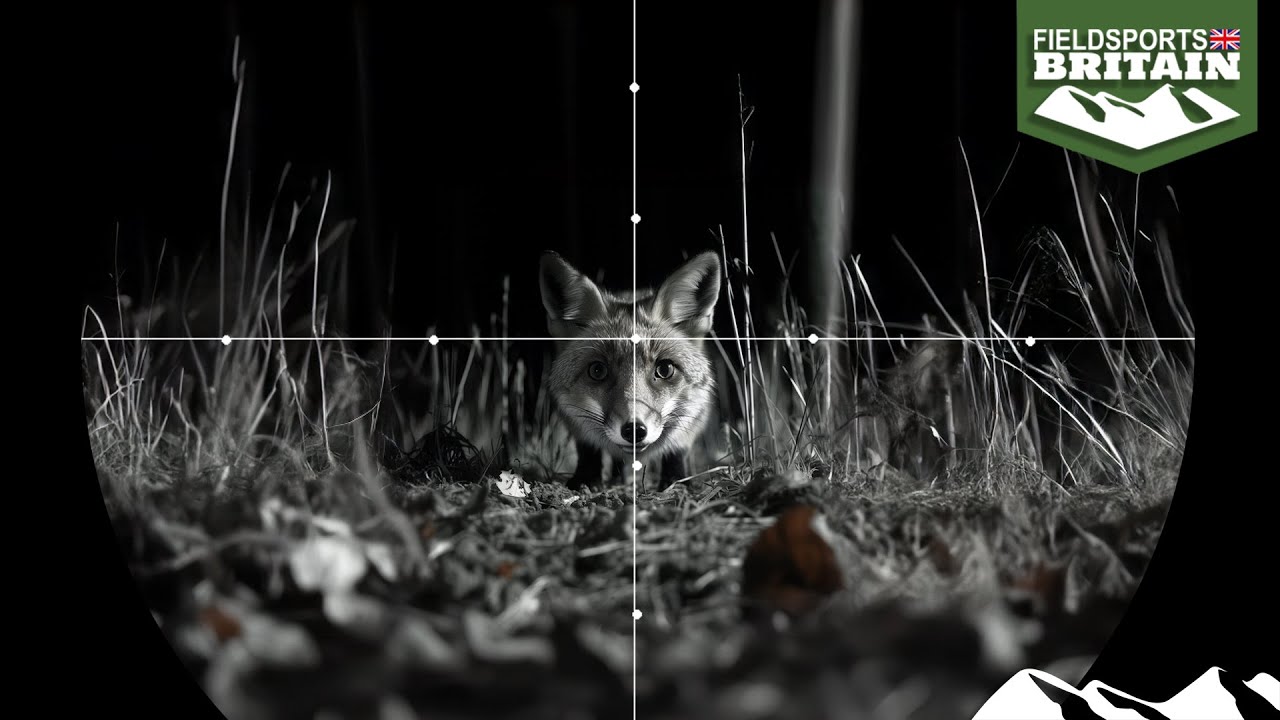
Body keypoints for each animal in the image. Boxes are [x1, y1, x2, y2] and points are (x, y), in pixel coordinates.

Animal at [539, 250, 722, 490]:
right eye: (597, 371)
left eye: (665, 369)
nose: (634, 431)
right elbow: (589, 449)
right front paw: (585, 479)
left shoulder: (695, 410)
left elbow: (677, 450)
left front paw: (677, 482)